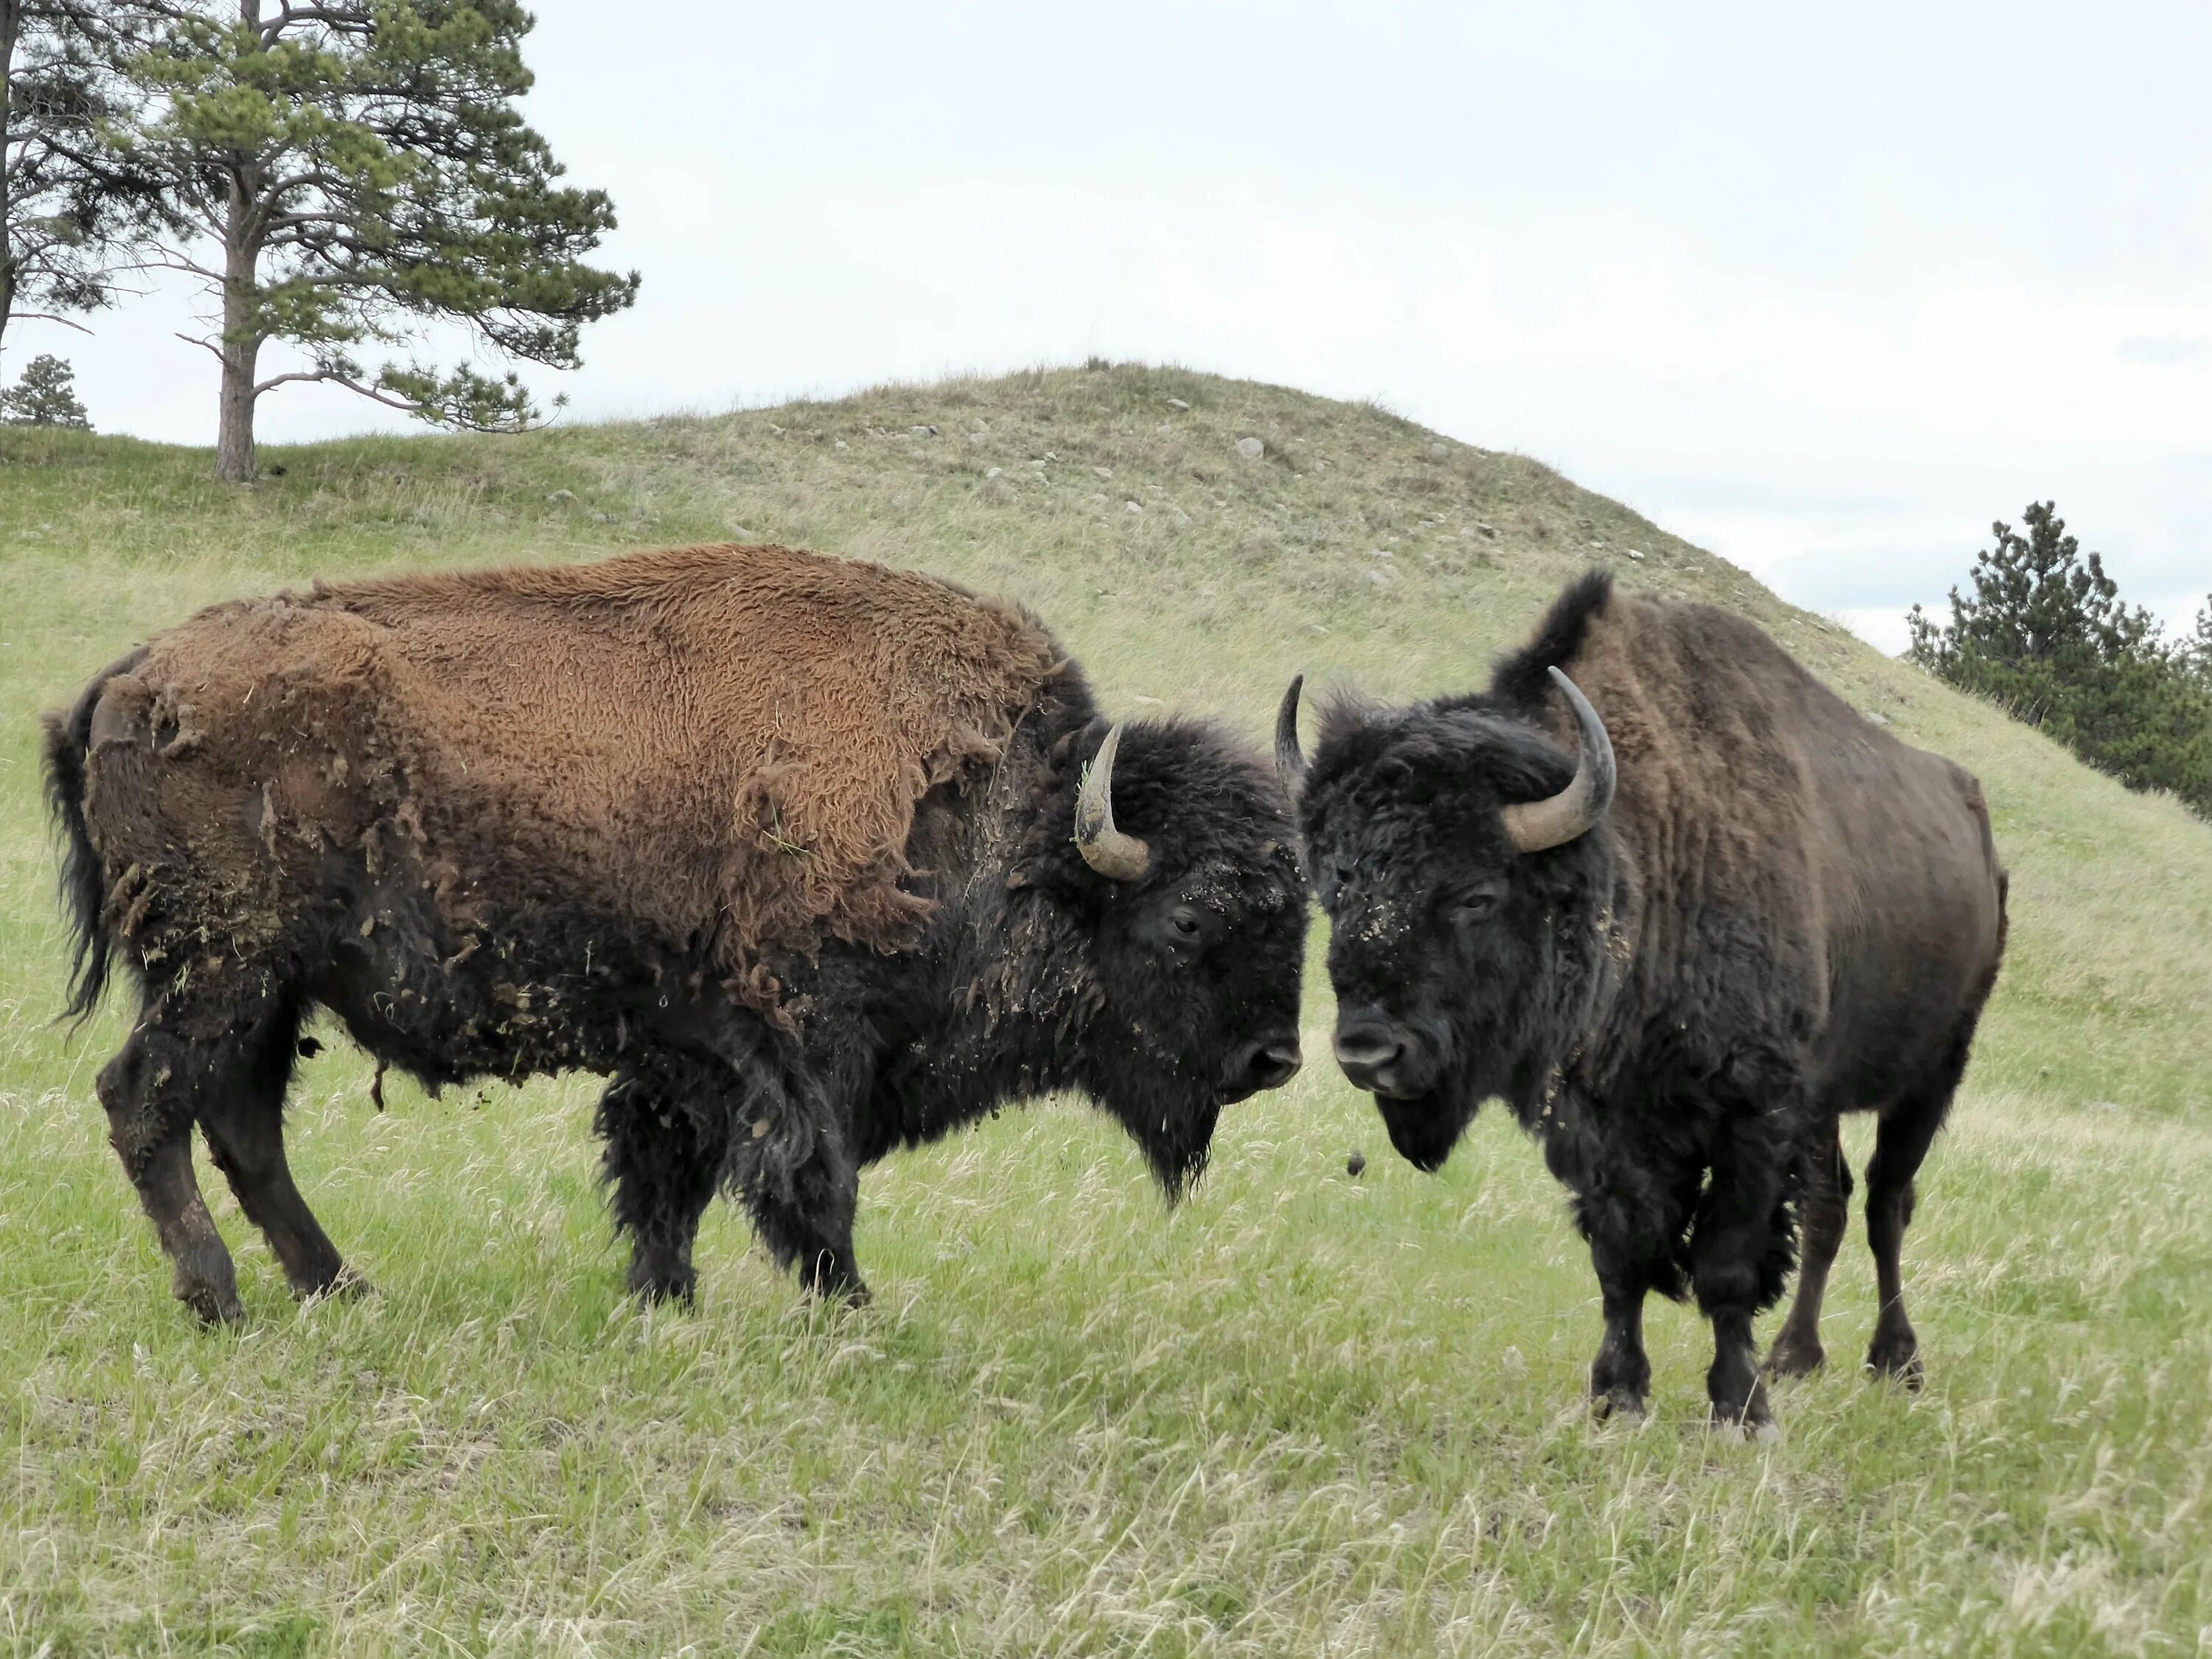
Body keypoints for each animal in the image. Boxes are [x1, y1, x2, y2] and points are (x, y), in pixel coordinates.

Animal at [47, 546, 1310, 1327]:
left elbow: (669, 1176)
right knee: (147, 1098)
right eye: (1192, 916)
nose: (1277, 1058)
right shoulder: (804, 1044)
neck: (1005, 823)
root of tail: (130, 678)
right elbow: (811, 1183)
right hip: (223, 967)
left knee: (241, 1122)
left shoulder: (688, 1055)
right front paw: (851, 1312)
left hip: (271, 988)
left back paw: (339, 1288)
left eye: (1301, 909)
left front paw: (664, 1300)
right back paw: (221, 1300)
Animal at [1274, 580, 2017, 1433]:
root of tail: (1982, 838)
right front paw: (1618, 1396)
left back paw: (1896, 1362)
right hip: (1826, 1098)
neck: (1643, 860)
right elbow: (1621, 1253)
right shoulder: (1600, 1120)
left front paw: (1742, 1410)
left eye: (1475, 894)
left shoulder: (1753, 1110)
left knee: (1887, 1204)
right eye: (1337, 888)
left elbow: (1728, 1263)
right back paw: (1797, 1357)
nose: (1368, 1051)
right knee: (1833, 1204)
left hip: (1933, 1072)